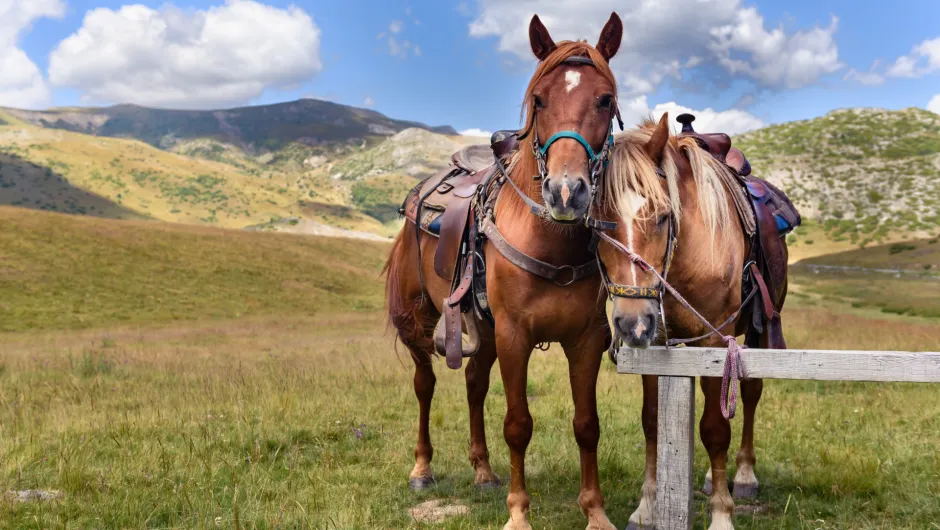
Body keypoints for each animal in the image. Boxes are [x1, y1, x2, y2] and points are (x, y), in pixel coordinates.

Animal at [386, 12, 628, 528]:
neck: (551, 243)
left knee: (474, 384)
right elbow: (518, 424)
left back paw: (483, 471)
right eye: (539, 100)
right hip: (417, 320)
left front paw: (595, 510)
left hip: (483, 330)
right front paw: (518, 513)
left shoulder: (586, 340)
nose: (566, 192)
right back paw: (422, 468)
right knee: (424, 384)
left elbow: (587, 424)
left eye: (606, 99)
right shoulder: (516, 335)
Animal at [596, 115, 784, 528]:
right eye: (600, 224)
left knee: (751, 393)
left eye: (664, 216)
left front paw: (722, 514)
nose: (632, 323)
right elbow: (653, 422)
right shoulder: (659, 343)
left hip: (756, 333)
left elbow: (715, 429)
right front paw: (647, 507)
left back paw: (743, 475)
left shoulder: (716, 341)